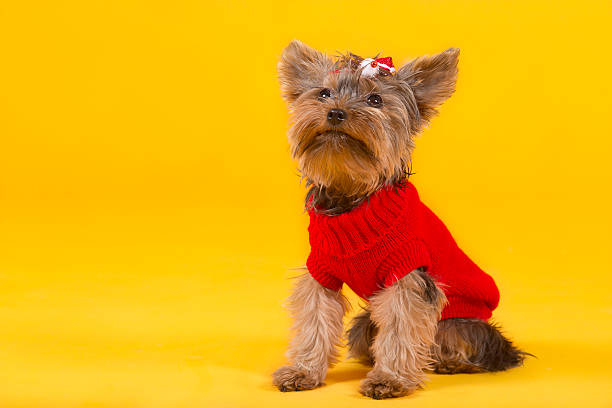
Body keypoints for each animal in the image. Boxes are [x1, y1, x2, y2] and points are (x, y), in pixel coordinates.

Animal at [272, 40, 524, 398]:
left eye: (375, 100)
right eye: (324, 94)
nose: (336, 112)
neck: (353, 198)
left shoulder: (406, 271)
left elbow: (401, 324)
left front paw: (389, 379)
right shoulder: (321, 269)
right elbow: (314, 318)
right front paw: (303, 370)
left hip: (461, 322)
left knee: (462, 342)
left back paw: (449, 362)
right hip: (364, 326)